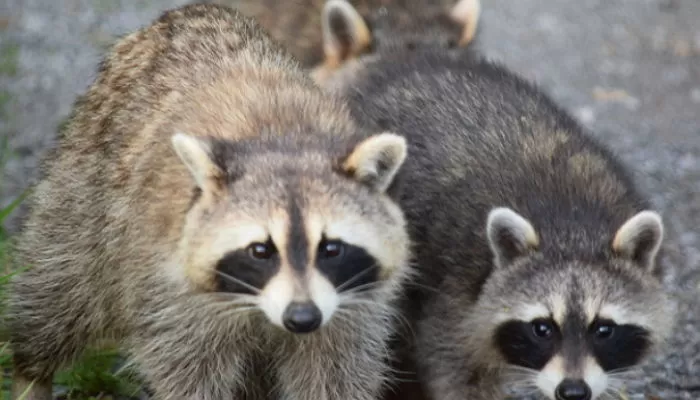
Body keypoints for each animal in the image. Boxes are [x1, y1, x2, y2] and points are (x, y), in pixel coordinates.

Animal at [6, 3, 410, 400]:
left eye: (331, 248)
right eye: (260, 250)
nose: (302, 318)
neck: (285, 144)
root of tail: (188, 11)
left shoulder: (352, 306)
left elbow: (335, 373)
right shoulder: (171, 290)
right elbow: (186, 372)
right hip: (85, 199)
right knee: (57, 296)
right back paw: (31, 372)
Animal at [320, 43, 676, 400]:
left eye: (604, 329)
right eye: (542, 328)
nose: (573, 390)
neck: (572, 227)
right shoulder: (456, 292)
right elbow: (456, 370)